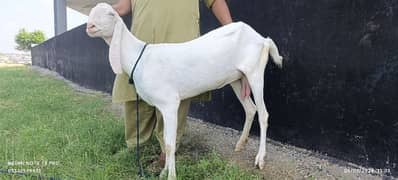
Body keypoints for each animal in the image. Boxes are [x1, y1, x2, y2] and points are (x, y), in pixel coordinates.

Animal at [86, 3, 282, 180]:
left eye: (111, 14)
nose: (90, 26)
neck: (140, 57)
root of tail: (262, 39)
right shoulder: (161, 106)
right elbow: (165, 140)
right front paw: (163, 171)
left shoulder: (170, 103)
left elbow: (170, 144)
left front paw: (171, 175)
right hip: (237, 78)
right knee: (250, 109)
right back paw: (240, 144)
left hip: (255, 72)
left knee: (263, 114)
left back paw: (260, 159)